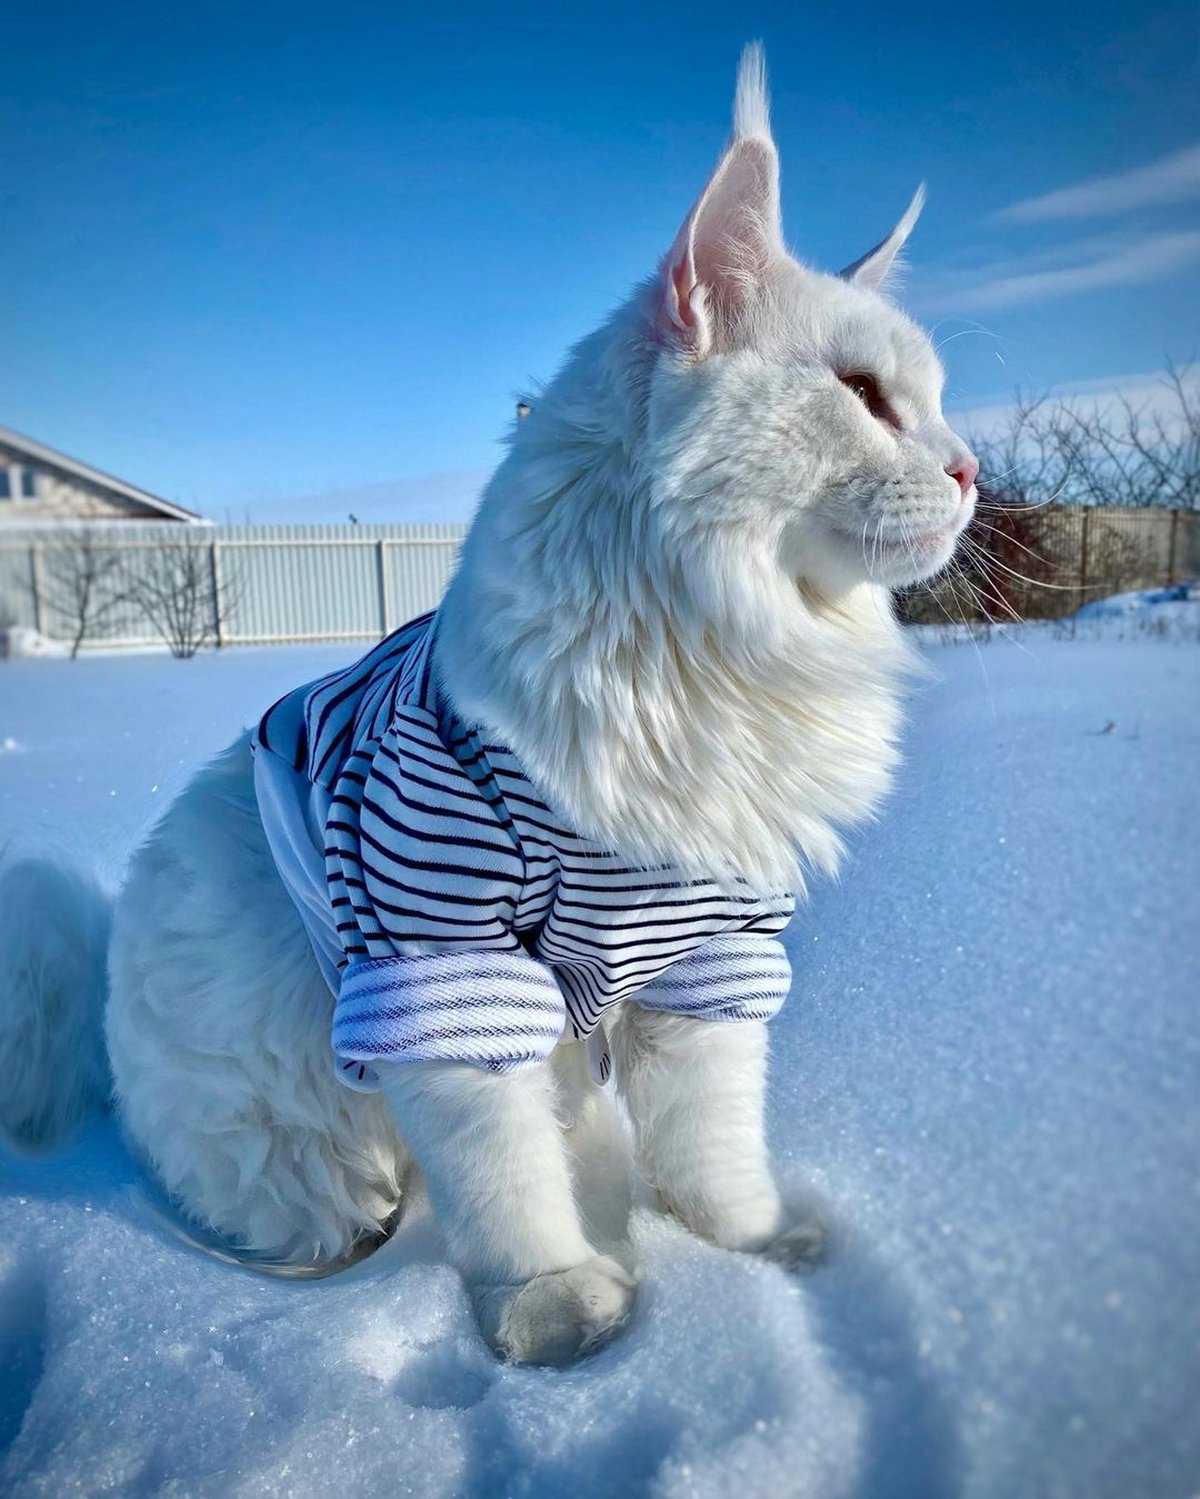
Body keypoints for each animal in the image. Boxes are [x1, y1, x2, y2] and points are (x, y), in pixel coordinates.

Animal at [0, 46, 970, 1367]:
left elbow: (714, 1150)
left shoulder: (710, 958)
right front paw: (557, 1307)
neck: (708, 656)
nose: (972, 469)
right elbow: (503, 1179)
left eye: (934, 402)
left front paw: (757, 1249)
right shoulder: (441, 960)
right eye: (863, 394)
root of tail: (99, 1028)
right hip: (311, 1138)